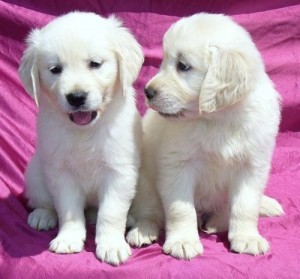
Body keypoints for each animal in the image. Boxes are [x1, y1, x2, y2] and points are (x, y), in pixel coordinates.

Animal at [19, 11, 144, 266]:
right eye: (55, 69)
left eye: (95, 64)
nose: (76, 97)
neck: (85, 131)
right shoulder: (60, 173)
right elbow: (68, 211)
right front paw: (68, 239)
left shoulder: (120, 172)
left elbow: (111, 213)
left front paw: (112, 245)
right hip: (35, 173)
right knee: (43, 201)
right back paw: (42, 215)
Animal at [127, 12, 284, 260]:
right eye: (164, 60)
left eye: (183, 66)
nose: (147, 91)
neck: (218, 120)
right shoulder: (177, 166)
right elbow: (181, 209)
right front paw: (183, 241)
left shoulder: (252, 167)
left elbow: (246, 206)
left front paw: (247, 238)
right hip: (144, 185)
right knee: (150, 212)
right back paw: (143, 231)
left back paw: (216, 222)